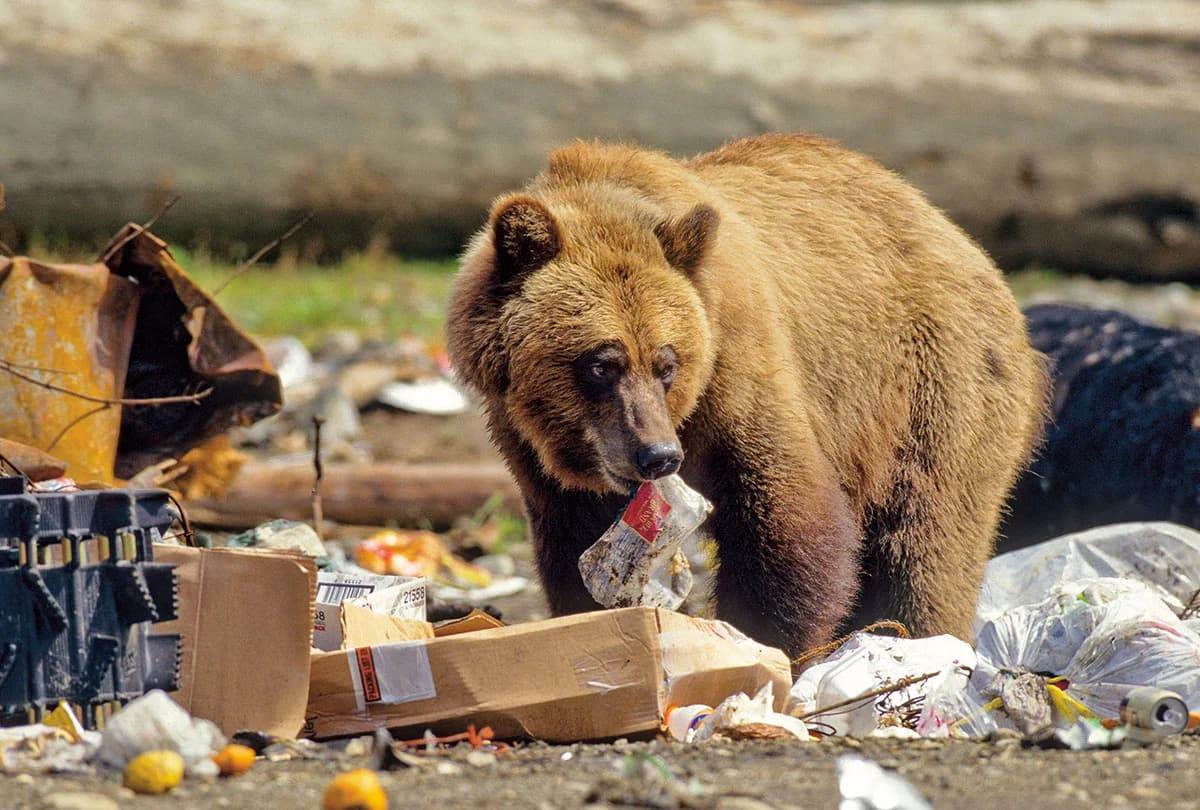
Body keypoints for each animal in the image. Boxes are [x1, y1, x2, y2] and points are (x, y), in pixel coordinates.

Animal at [446, 134, 1046, 655]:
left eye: (666, 363)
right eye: (601, 364)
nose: (657, 455)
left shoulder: (739, 364)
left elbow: (790, 518)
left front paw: (761, 641)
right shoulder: (531, 445)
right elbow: (574, 545)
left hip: (933, 383)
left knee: (926, 540)